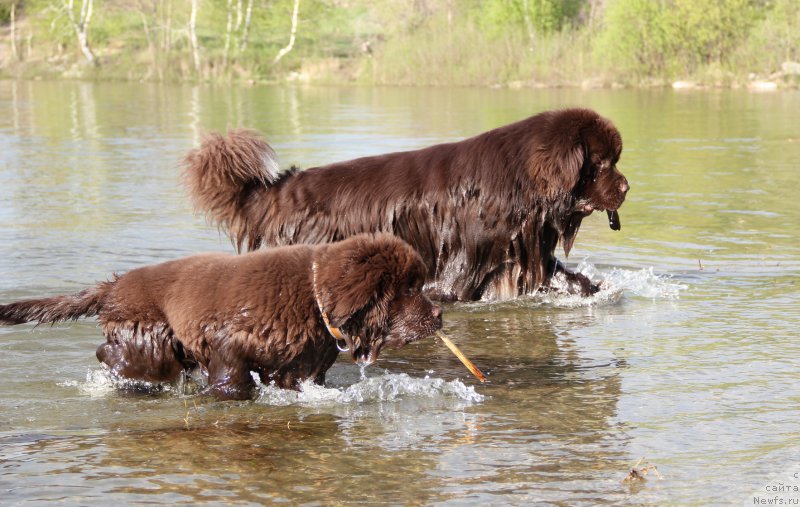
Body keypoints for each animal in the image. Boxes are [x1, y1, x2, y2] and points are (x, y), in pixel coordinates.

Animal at [0, 234, 444, 400]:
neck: (315, 299)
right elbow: (233, 380)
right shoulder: (228, 342)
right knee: (114, 356)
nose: (439, 315)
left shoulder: (300, 366)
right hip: (150, 342)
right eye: (408, 289)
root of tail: (113, 286)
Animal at [184, 107, 628, 302]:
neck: (521, 182)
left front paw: (592, 287)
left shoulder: (520, 250)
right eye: (602, 163)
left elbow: (558, 275)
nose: (626, 187)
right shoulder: (459, 268)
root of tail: (279, 188)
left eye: (614, 160)